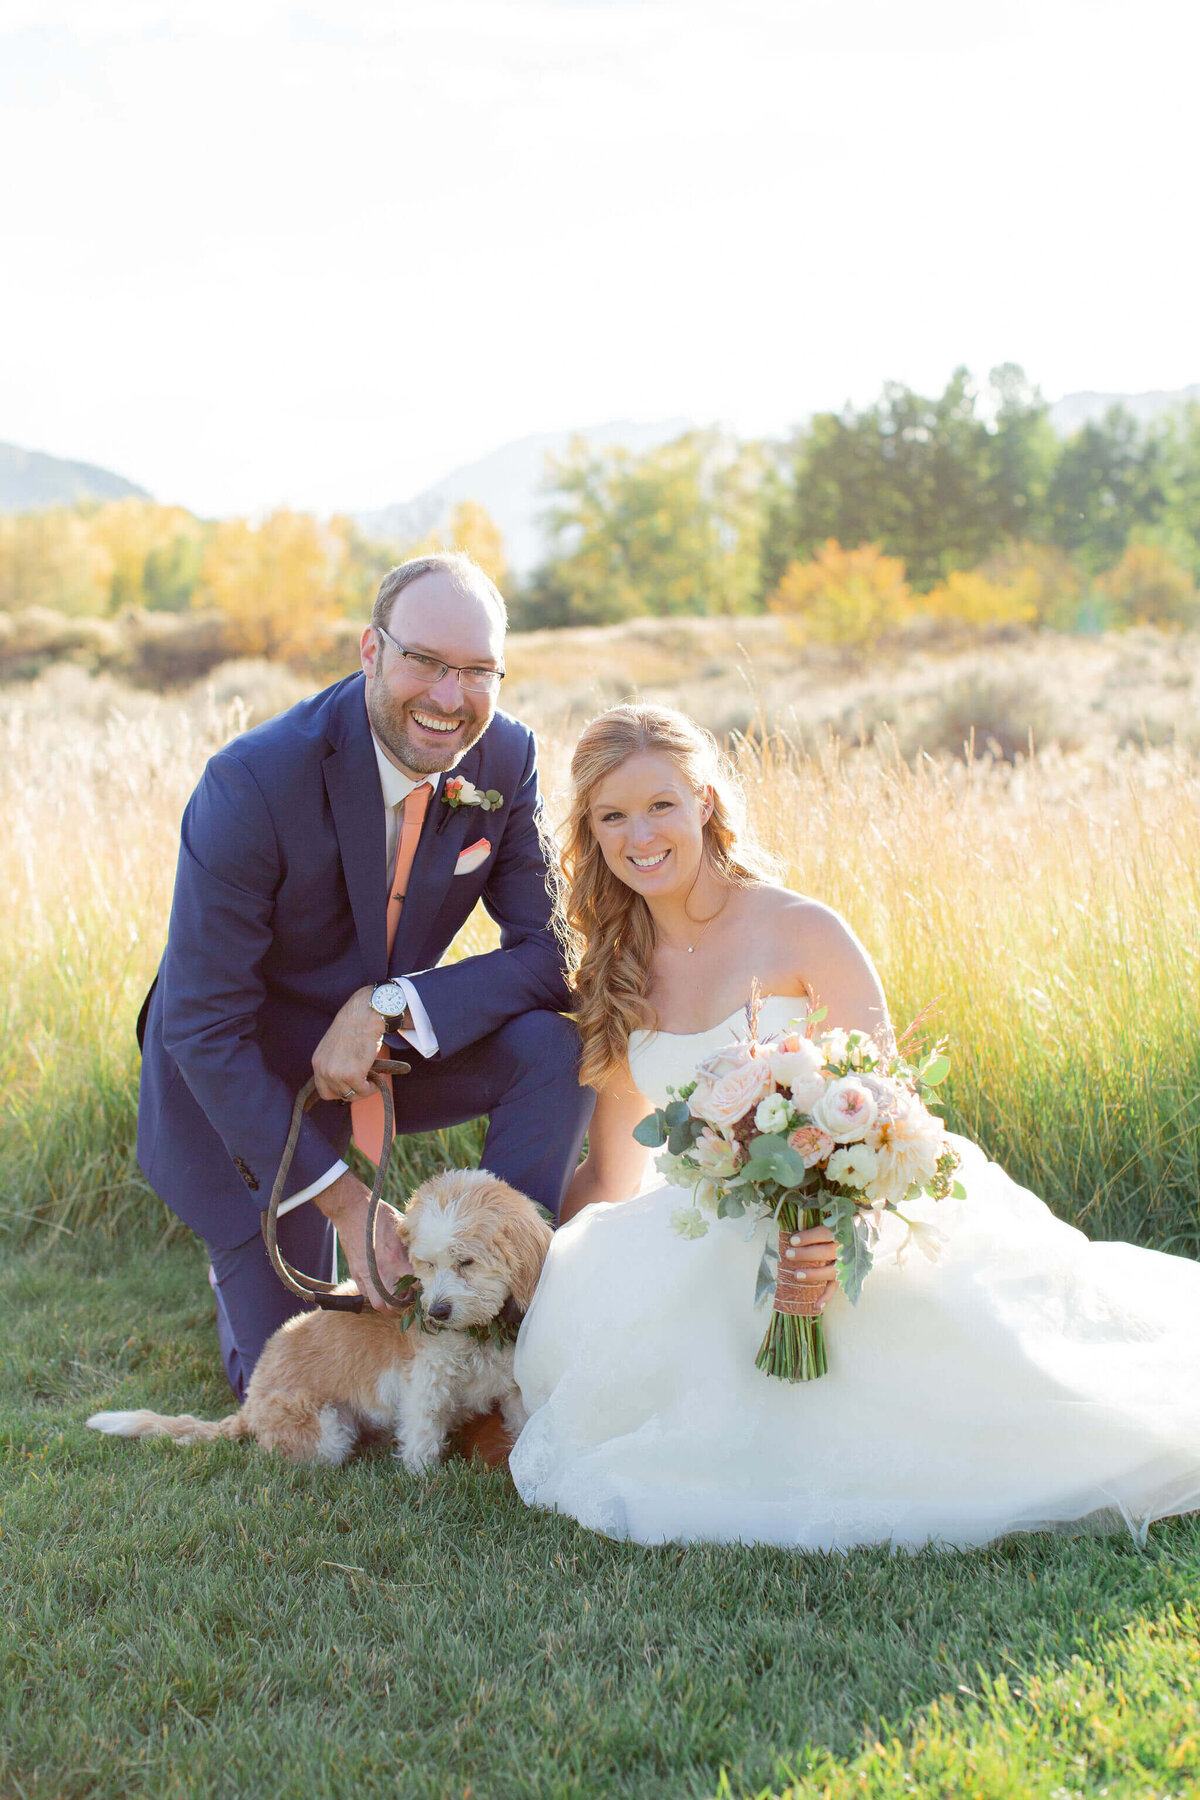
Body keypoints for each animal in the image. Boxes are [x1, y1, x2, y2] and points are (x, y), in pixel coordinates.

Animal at [86, 1166, 550, 1476]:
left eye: (466, 1262)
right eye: (426, 1265)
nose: (436, 1312)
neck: (477, 1335)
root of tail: (249, 1406)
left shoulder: (512, 1389)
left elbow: (523, 1422)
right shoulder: (426, 1388)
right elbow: (422, 1439)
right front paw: (425, 1481)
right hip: (325, 1434)